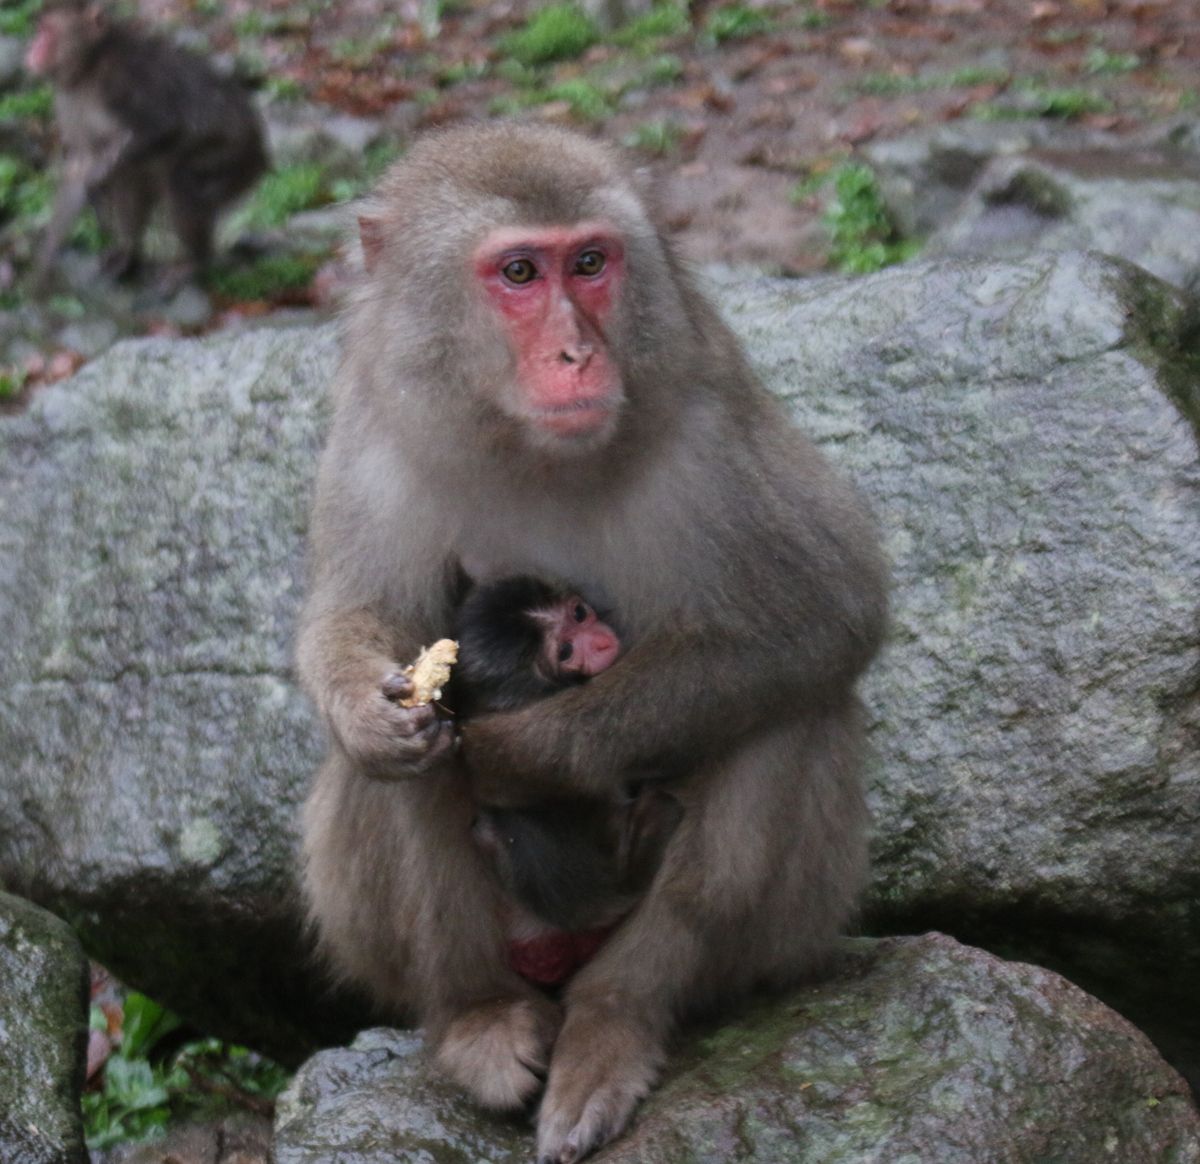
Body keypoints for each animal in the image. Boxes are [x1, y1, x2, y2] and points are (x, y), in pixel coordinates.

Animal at [22, 1, 267, 290]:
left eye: (47, 31)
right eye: (39, 29)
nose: (33, 48)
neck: (90, 66)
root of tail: (261, 151)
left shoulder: (122, 79)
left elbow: (164, 126)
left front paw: (97, 179)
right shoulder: (68, 104)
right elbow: (80, 166)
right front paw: (42, 270)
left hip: (233, 157)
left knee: (181, 179)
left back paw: (194, 261)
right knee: (134, 179)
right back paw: (129, 251)